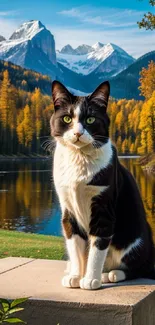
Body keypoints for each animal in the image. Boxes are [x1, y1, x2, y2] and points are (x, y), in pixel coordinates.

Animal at [50, 80, 154, 288]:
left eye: (90, 119)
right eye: (67, 118)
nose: (78, 133)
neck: (79, 159)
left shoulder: (103, 206)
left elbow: (98, 247)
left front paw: (90, 280)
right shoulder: (68, 209)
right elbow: (74, 245)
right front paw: (75, 276)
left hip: (138, 237)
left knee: (139, 268)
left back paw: (111, 274)